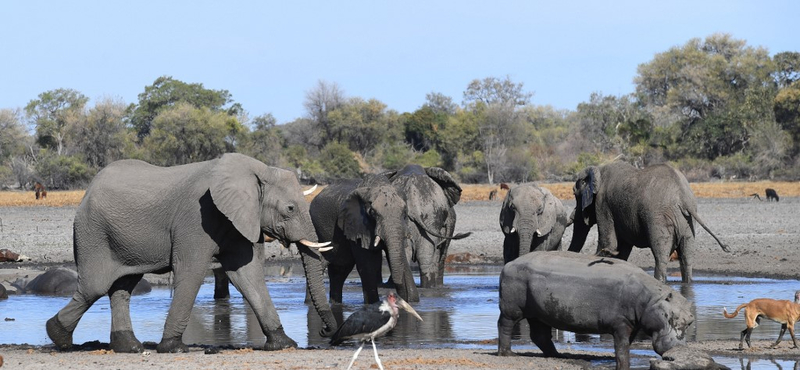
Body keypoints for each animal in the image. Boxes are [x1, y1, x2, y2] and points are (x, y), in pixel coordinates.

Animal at [45, 152, 332, 352]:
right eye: (290, 209)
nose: (326, 332)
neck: (256, 170)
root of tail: (87, 191)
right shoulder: (196, 218)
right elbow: (191, 271)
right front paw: (174, 348)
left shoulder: (237, 220)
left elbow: (246, 275)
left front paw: (284, 344)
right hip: (93, 232)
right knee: (94, 287)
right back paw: (58, 336)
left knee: (122, 288)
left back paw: (129, 347)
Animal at [308, 175, 418, 304]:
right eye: (373, 213)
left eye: (404, 212)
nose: (399, 297)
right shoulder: (356, 226)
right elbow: (367, 265)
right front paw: (373, 304)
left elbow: (401, 257)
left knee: (339, 271)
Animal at [564, 161, 728, 284]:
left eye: (574, 193)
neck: (599, 169)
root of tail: (683, 198)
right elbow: (623, 248)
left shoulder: (603, 204)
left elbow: (608, 242)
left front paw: (604, 254)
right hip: (687, 223)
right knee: (687, 257)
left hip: (658, 218)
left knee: (660, 255)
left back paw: (659, 281)